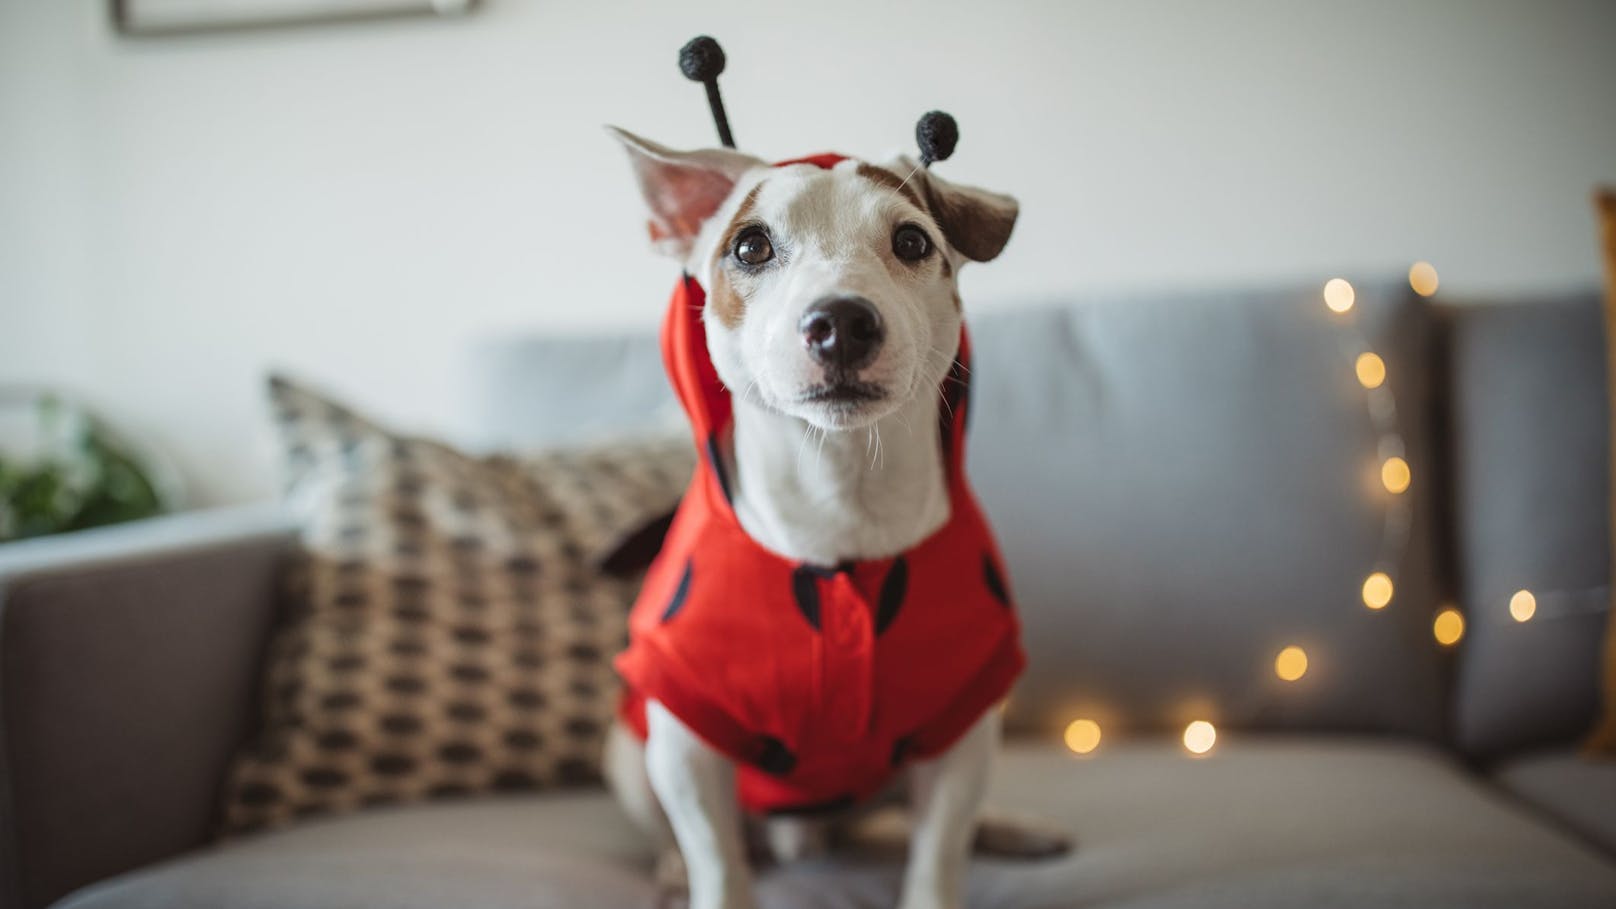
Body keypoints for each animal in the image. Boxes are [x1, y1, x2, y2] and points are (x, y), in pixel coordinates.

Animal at [597, 125, 1060, 905]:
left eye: (912, 241)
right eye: (751, 246)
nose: (841, 321)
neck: (841, 491)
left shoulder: (962, 724)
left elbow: (939, 853)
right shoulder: (686, 737)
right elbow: (716, 856)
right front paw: (705, 878)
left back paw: (1011, 828)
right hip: (632, 755)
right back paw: (669, 868)